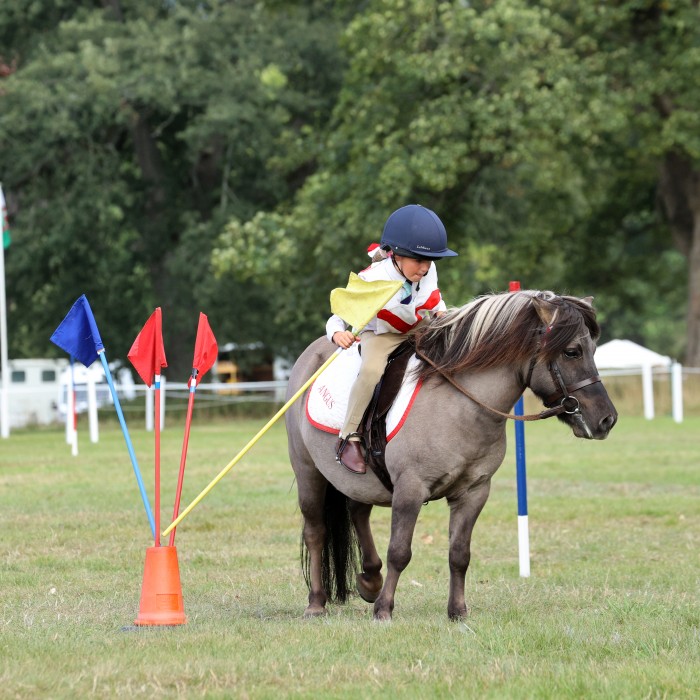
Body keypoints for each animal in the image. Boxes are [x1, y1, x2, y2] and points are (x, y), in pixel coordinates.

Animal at [284, 289, 618, 621]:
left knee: (358, 511)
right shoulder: (410, 489)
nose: (607, 419)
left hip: (360, 481)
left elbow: (459, 554)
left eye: (593, 349)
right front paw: (384, 610)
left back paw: (370, 580)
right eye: (572, 352)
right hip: (308, 473)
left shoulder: (473, 492)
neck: (460, 404)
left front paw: (457, 611)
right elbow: (399, 551)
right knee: (316, 532)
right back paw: (316, 602)